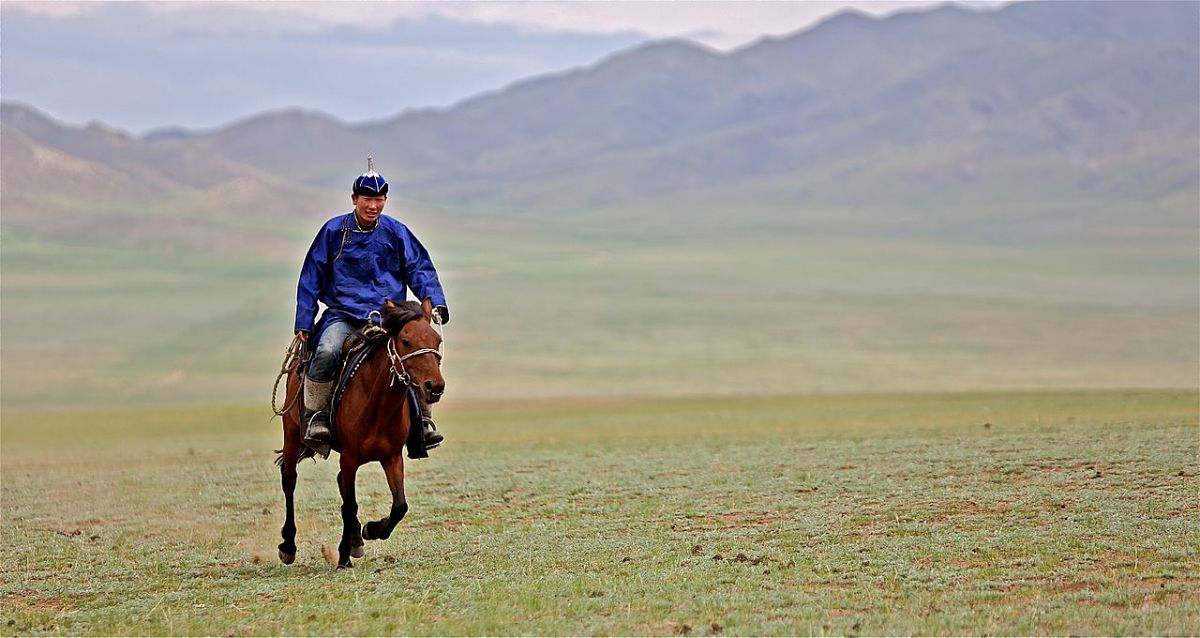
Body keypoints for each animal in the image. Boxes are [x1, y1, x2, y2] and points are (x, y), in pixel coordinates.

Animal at [276, 297, 446, 568]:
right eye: (406, 341)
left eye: (436, 340)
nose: (435, 386)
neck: (378, 404)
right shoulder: (350, 457)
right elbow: (349, 505)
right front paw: (343, 556)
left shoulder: (392, 457)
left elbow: (400, 505)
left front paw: (371, 530)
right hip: (292, 435)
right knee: (289, 480)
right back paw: (288, 546)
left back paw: (356, 539)